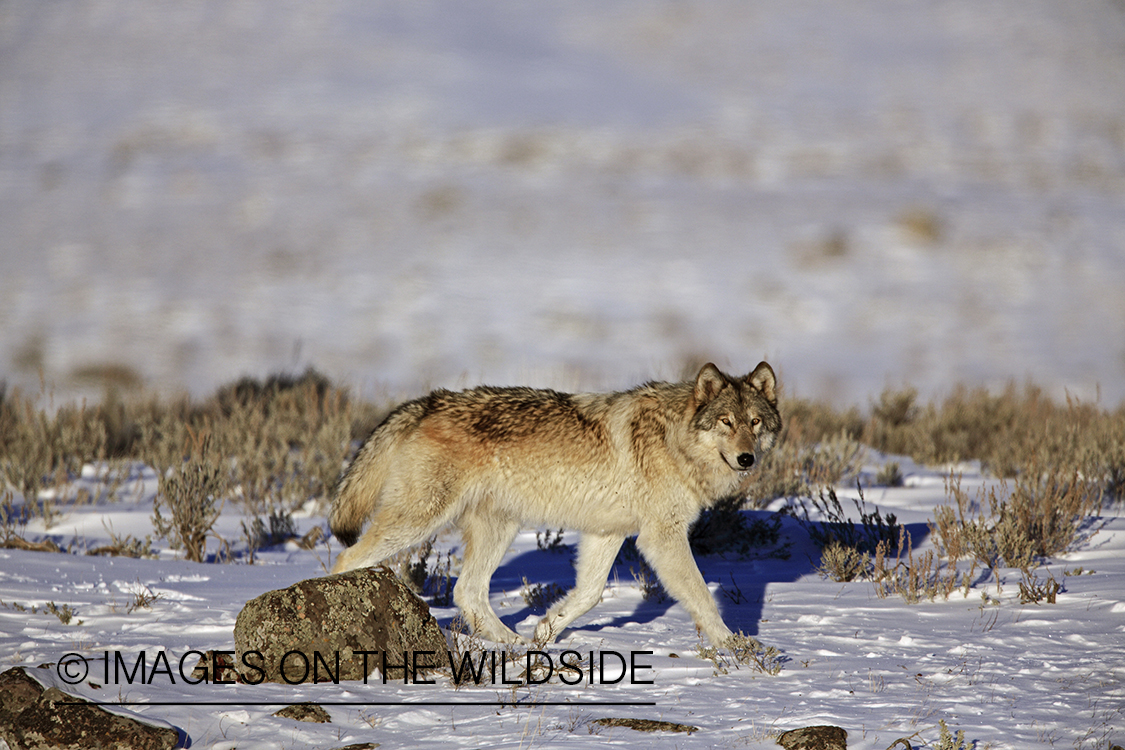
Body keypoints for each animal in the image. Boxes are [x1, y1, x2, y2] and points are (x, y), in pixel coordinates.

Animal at [329, 361, 781, 646]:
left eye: (755, 422)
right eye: (726, 422)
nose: (746, 458)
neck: (676, 440)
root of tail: (428, 402)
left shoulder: (608, 532)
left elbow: (590, 593)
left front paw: (547, 630)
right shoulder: (661, 537)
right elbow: (703, 597)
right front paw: (738, 649)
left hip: (498, 529)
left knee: (467, 591)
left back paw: (512, 644)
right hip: (419, 521)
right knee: (347, 559)